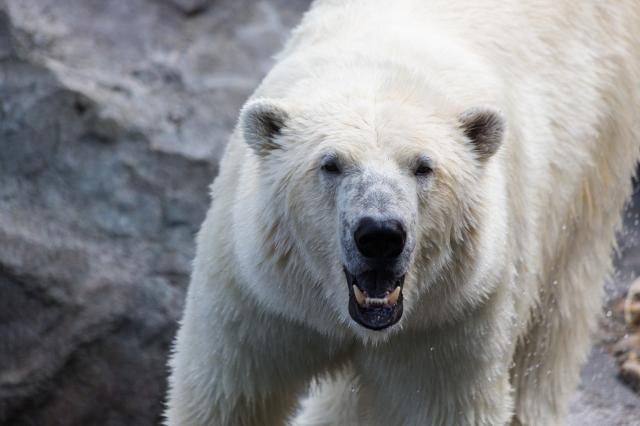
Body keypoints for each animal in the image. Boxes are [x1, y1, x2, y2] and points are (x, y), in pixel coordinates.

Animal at [165, 0, 640, 425]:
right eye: (330, 164)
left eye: (423, 166)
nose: (379, 235)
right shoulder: (261, 297)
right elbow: (227, 395)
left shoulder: (450, 320)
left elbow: (442, 406)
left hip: (596, 150)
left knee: (554, 325)